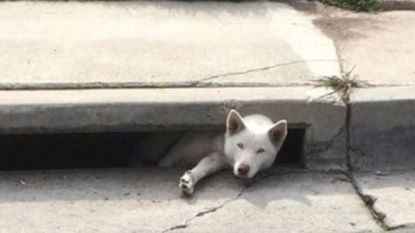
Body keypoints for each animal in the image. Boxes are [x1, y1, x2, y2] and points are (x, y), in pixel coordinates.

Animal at [154, 110, 288, 196]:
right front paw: (189, 179)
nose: (243, 169)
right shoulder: (175, 152)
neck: (220, 142)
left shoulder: (219, 158)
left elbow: (204, 166)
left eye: (260, 151)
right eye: (240, 145)